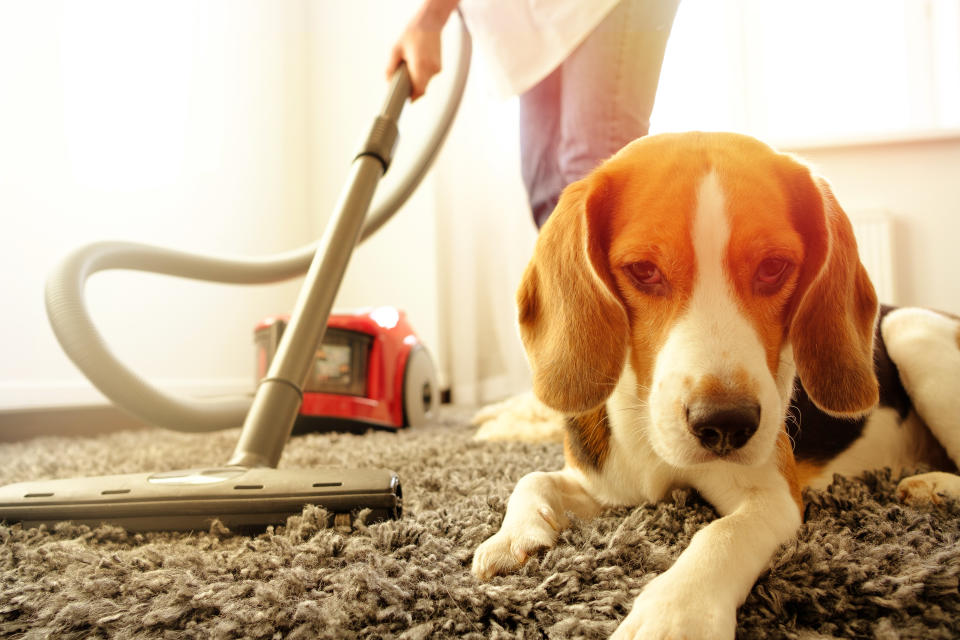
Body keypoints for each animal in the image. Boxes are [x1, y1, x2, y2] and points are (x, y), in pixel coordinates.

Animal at [470, 132, 960, 636]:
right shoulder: (607, 484)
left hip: (910, 330)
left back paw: (934, 486)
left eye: (774, 267)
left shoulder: (775, 497)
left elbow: (723, 533)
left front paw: (674, 614)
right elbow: (531, 478)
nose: (726, 425)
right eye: (643, 270)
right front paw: (512, 538)